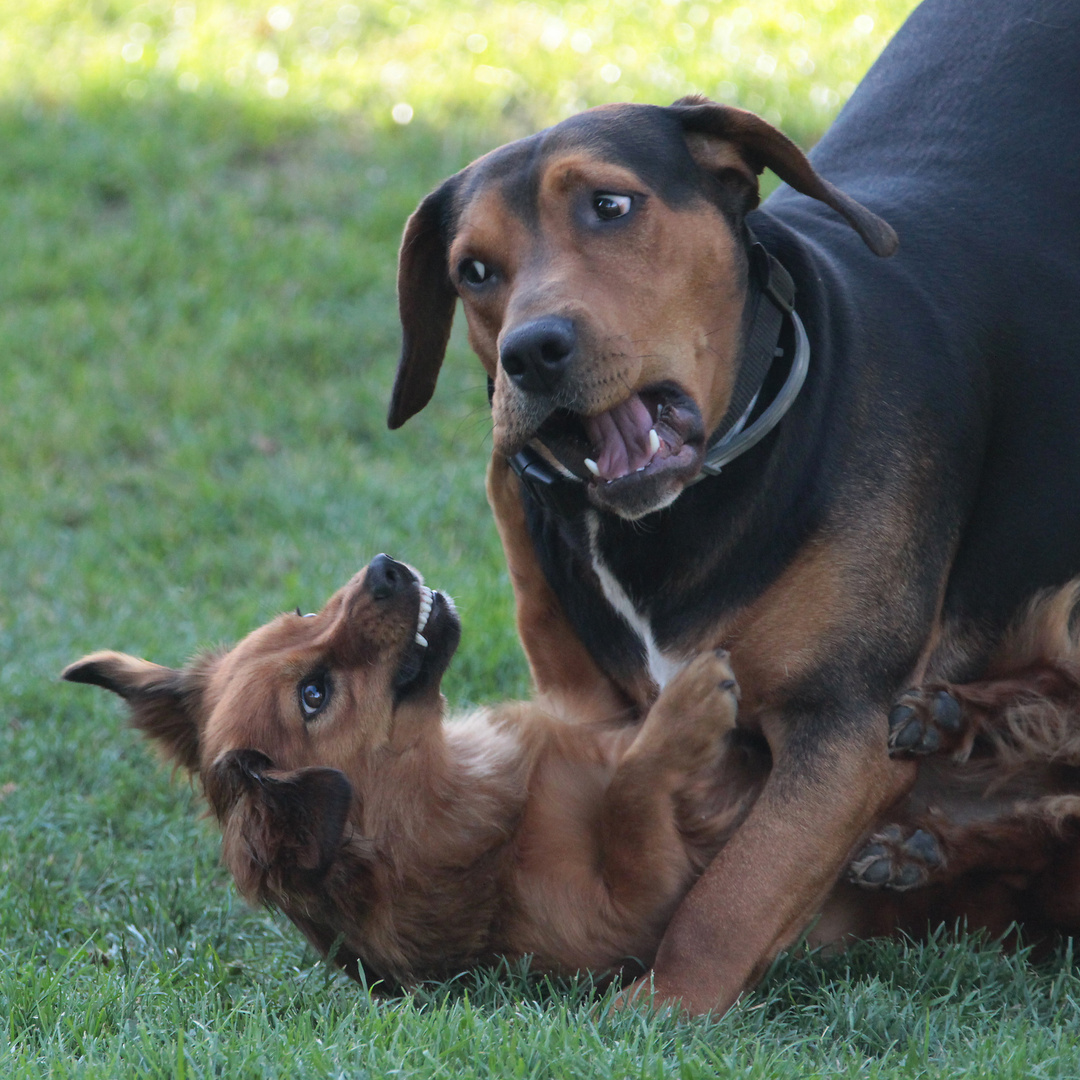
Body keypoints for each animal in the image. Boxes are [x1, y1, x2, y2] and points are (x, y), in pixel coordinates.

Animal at [65, 557, 1080, 989]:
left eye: (300, 616)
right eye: (314, 693)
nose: (386, 568)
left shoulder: (591, 722)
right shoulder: (649, 896)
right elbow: (635, 794)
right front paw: (690, 709)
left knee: (1051, 702)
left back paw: (950, 725)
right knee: (1049, 808)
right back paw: (927, 840)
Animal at [386, 0, 1080, 1010]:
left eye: (611, 205)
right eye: (473, 270)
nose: (530, 353)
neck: (678, 518)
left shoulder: (841, 731)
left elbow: (736, 891)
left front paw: (662, 1004)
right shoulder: (600, 711)